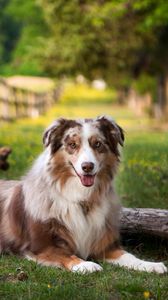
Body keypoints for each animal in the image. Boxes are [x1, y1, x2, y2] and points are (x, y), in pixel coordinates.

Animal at [0, 116, 167, 274]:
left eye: (97, 144)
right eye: (72, 145)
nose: (87, 166)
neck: (82, 198)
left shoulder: (104, 245)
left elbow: (129, 256)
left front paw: (150, 265)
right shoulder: (41, 247)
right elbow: (66, 255)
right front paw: (85, 264)